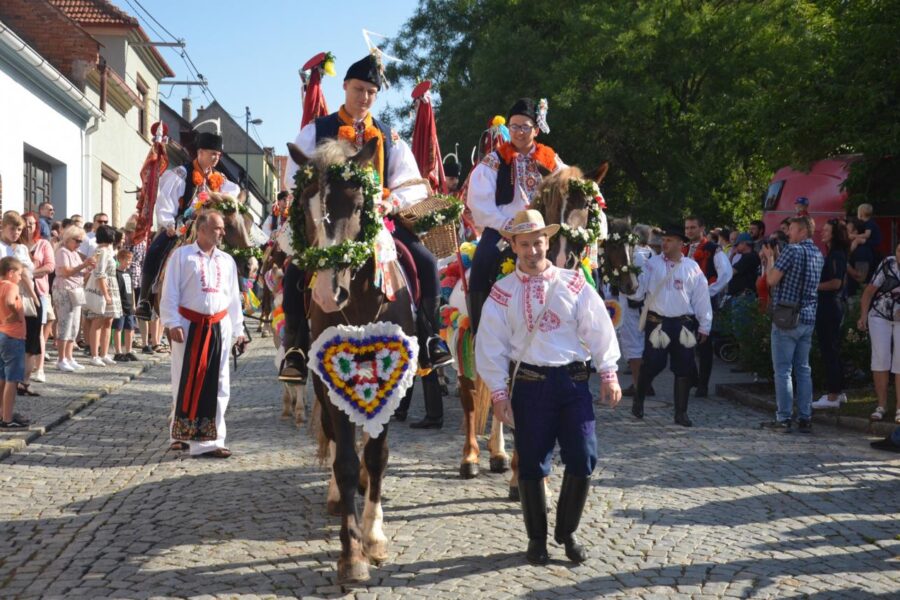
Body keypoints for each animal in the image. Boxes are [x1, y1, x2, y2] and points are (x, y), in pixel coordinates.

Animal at [286, 137, 416, 580]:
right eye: (303, 205)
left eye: (360, 205)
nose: (328, 293)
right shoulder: (329, 383)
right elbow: (342, 458)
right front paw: (351, 552)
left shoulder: (395, 379)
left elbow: (376, 456)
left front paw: (373, 536)